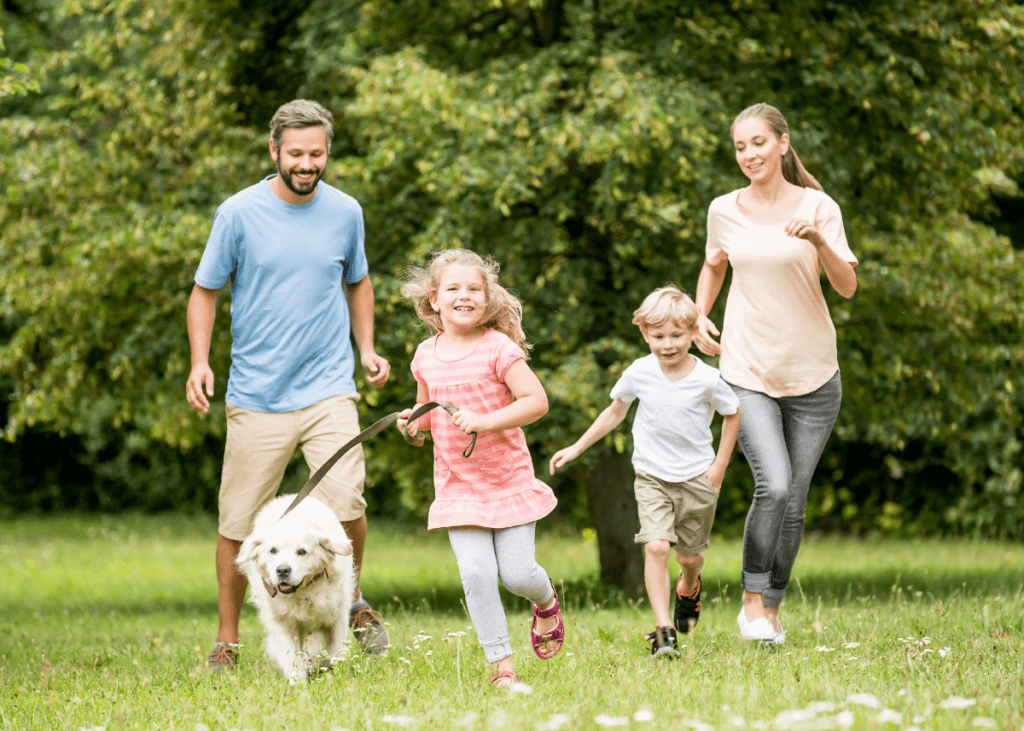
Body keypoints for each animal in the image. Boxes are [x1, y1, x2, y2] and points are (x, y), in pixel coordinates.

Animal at [234, 493, 354, 679]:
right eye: (273, 550)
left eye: (302, 551)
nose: (282, 570)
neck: (303, 593)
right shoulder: (281, 623)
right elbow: (292, 656)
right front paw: (299, 681)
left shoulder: (338, 616)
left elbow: (335, 651)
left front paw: (330, 672)